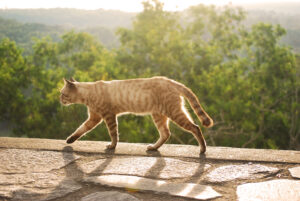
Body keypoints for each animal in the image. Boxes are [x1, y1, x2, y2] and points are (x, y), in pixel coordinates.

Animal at [59, 76, 212, 153]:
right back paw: (153, 147)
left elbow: (113, 134)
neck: (88, 94)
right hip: (159, 115)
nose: (59, 99)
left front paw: (112, 146)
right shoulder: (94, 118)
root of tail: (172, 81)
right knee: (166, 134)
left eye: (62, 93)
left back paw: (203, 149)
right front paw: (70, 140)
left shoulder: (108, 116)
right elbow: (80, 130)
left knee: (195, 128)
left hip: (174, 113)